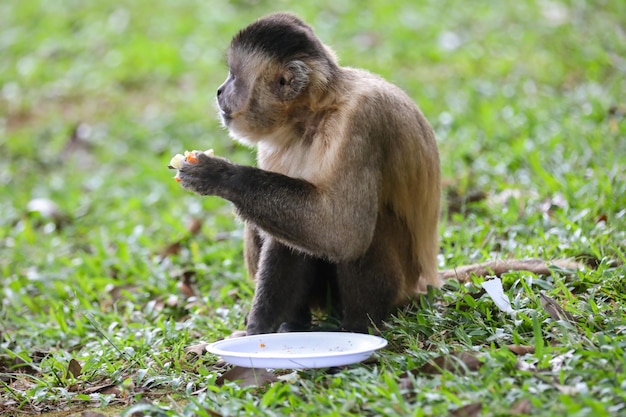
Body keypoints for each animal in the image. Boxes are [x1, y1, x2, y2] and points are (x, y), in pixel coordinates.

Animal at [176, 11, 580, 334]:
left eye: (233, 76)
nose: (219, 91)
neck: (314, 114)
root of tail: (423, 284)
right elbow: (294, 236)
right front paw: (258, 331)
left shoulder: (361, 121)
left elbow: (343, 231)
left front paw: (220, 177)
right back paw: (298, 324)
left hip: (400, 286)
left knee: (364, 228)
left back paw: (360, 327)